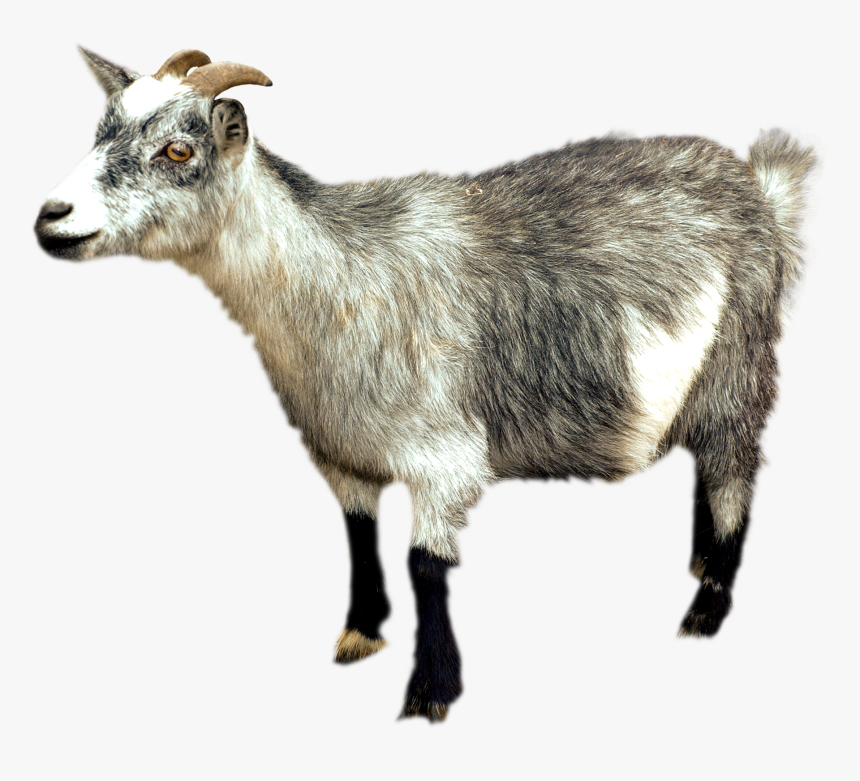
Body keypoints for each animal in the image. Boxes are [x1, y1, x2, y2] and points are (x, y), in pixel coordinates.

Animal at [35, 47, 814, 722]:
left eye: (178, 151)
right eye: (101, 132)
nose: (51, 218)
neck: (335, 281)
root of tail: (760, 189)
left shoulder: (447, 459)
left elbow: (425, 566)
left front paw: (430, 692)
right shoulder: (340, 447)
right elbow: (358, 532)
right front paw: (360, 631)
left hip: (738, 364)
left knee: (734, 472)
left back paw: (707, 605)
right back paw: (699, 560)